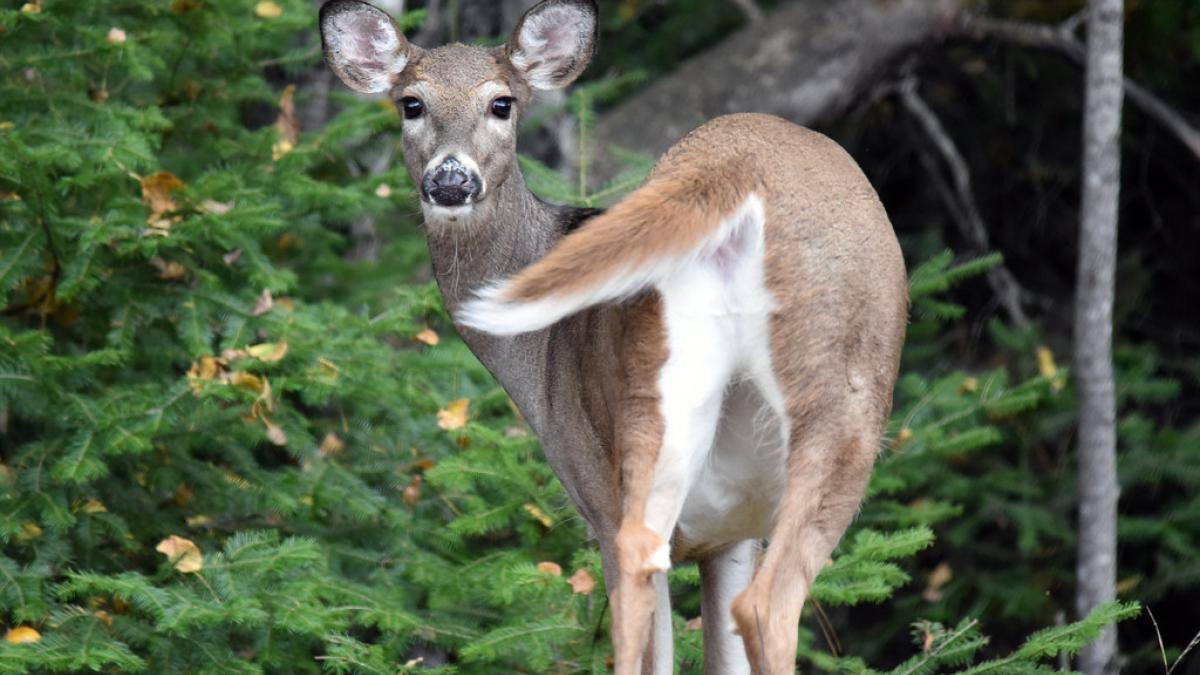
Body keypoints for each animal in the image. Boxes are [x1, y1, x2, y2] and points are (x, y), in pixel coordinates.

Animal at [319, 2, 907, 667]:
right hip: (764, 392)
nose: (450, 180)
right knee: (733, 593)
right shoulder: (723, 527)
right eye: (411, 103)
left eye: (502, 103)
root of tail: (734, 168)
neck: (540, 357)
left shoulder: (629, 497)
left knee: (673, 575)